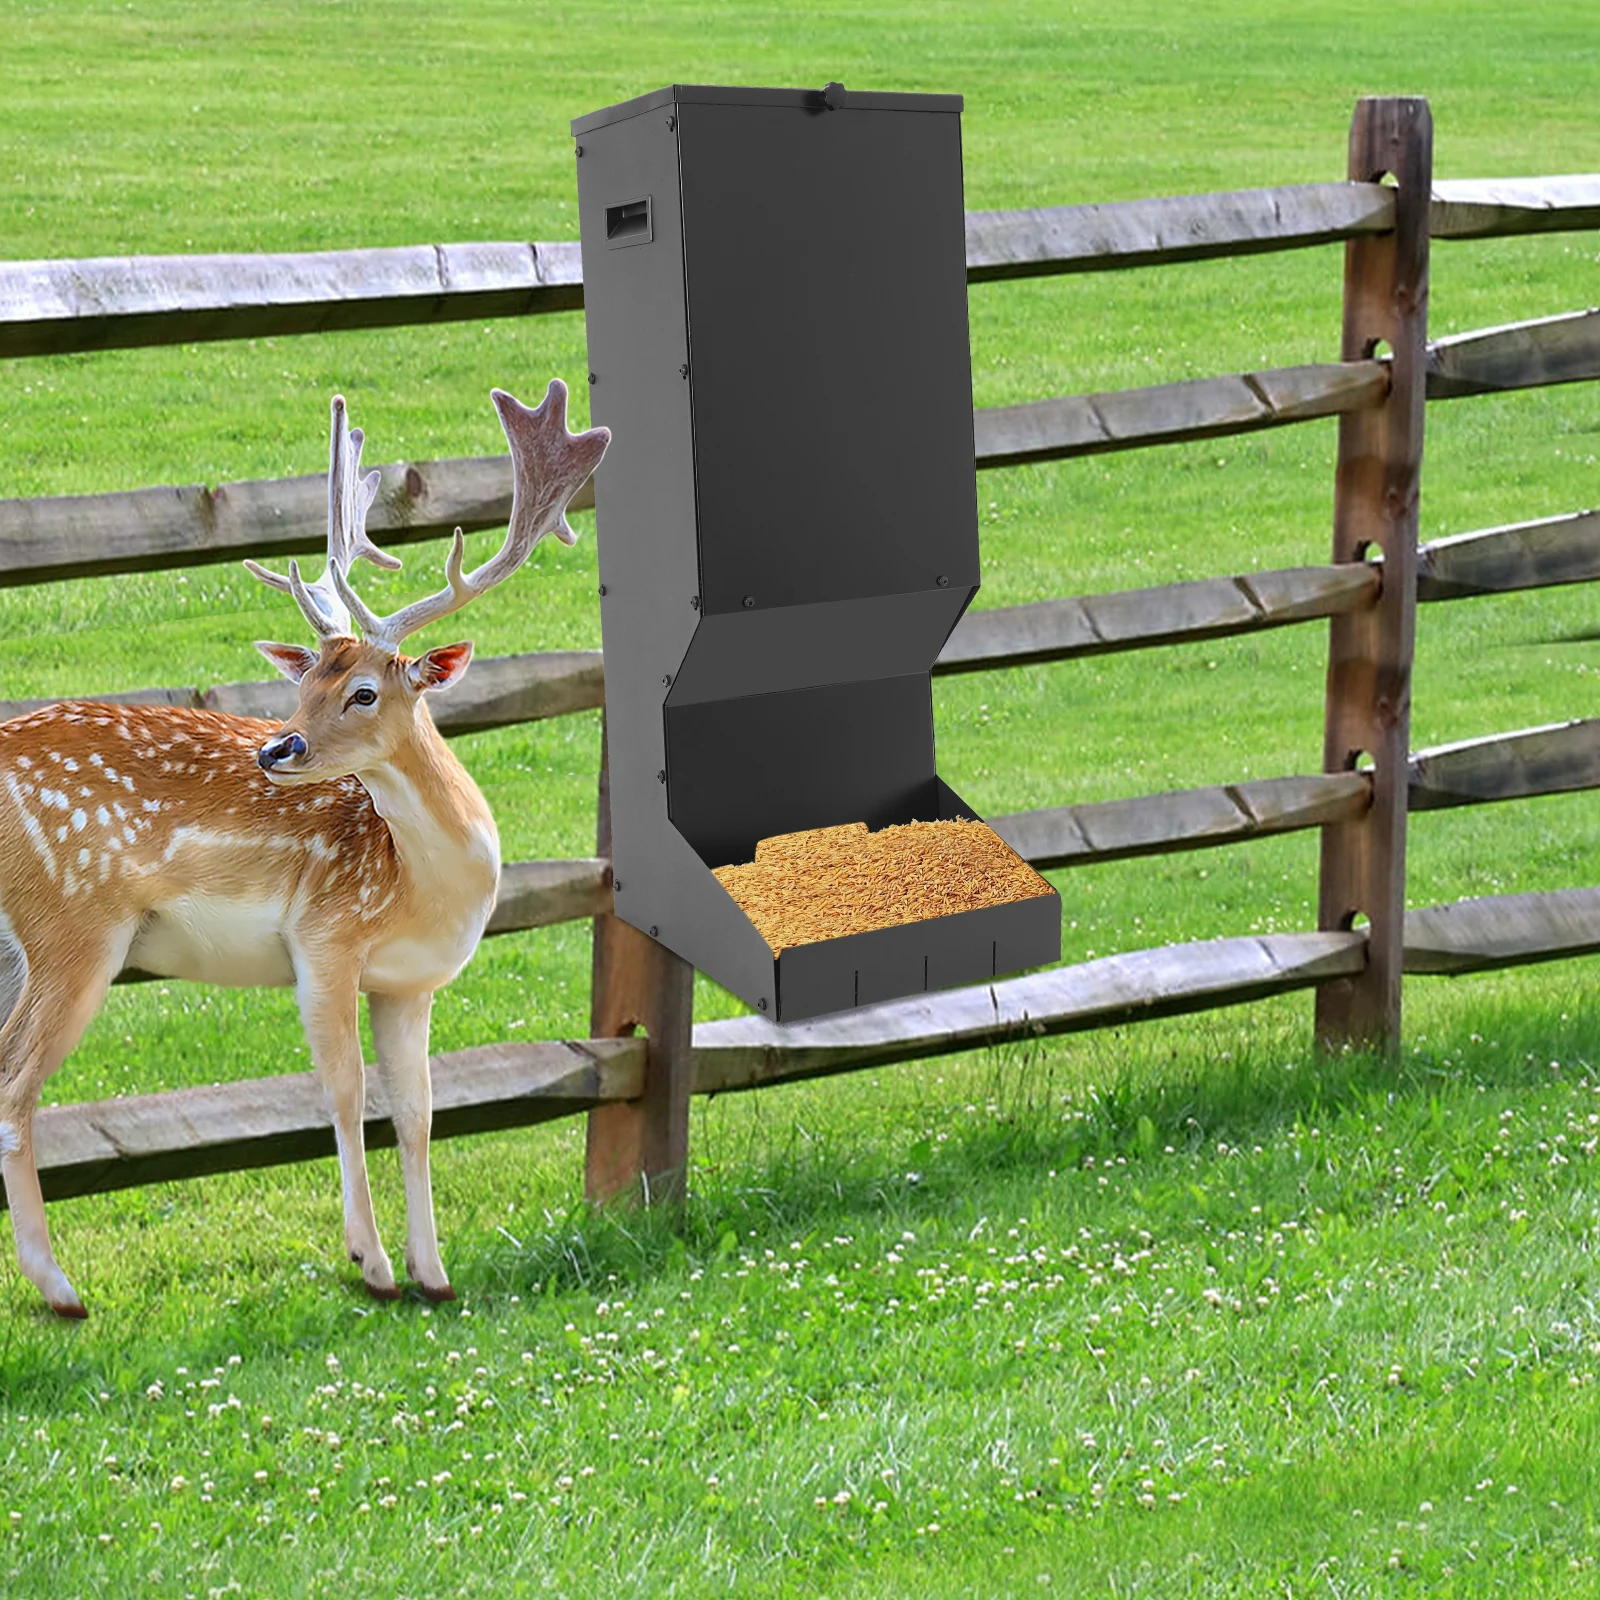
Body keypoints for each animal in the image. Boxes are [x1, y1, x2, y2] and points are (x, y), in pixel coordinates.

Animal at [0, 380, 609, 1318]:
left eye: (361, 690)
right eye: (303, 682)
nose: (275, 749)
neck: (422, 891)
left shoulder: (413, 982)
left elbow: (419, 1110)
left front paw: (435, 1274)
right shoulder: (323, 937)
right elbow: (345, 1090)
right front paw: (374, 1265)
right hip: (70, 924)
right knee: (14, 1085)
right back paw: (61, 1290)